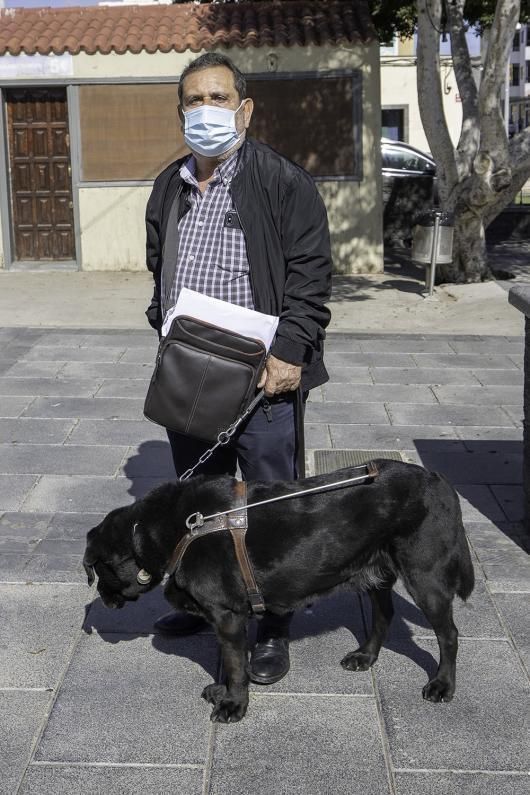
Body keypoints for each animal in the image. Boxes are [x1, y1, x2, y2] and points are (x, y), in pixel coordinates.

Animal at [83, 460, 474, 728]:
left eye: (98, 570)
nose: (102, 598)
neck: (183, 527)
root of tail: (439, 480)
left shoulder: (226, 614)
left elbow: (236, 665)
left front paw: (234, 704)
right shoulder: (227, 619)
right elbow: (229, 659)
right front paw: (222, 691)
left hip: (425, 577)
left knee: (449, 634)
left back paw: (443, 685)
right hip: (374, 571)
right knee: (384, 615)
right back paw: (365, 656)